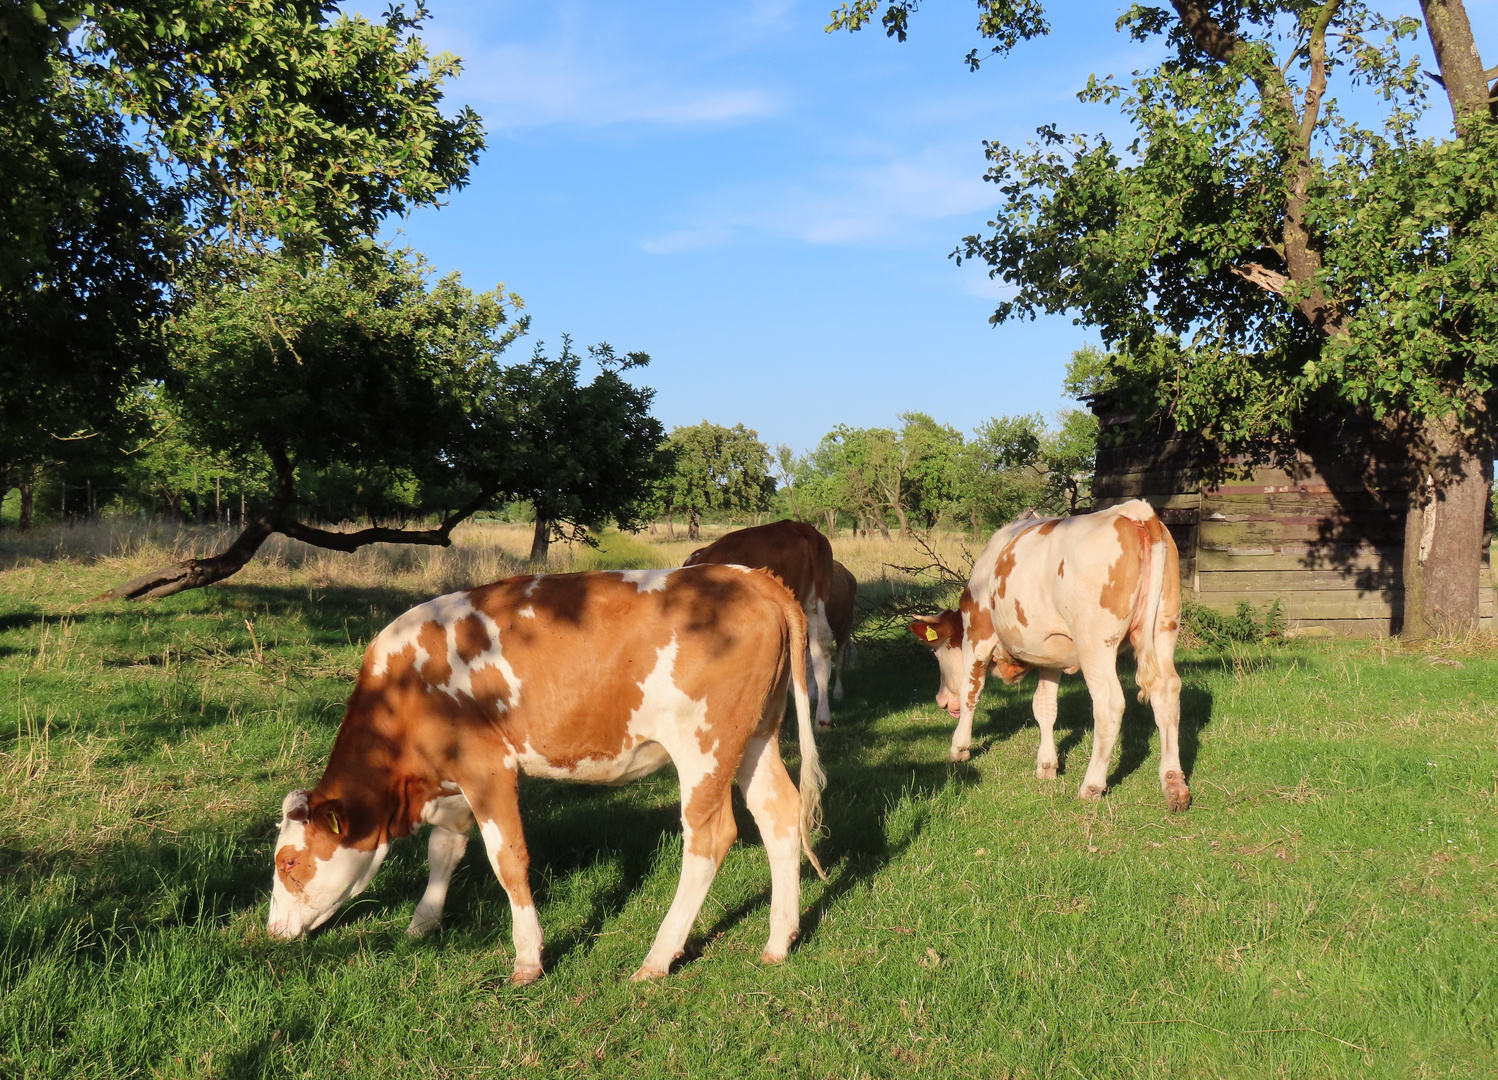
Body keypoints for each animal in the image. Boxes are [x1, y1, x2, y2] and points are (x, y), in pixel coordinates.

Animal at [272, 563, 832, 988]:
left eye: (290, 863)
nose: (273, 930)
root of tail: (749, 576)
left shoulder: (486, 766)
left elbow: (507, 860)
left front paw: (528, 959)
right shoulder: (453, 775)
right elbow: (444, 849)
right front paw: (422, 923)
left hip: (704, 746)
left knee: (709, 838)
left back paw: (657, 958)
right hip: (754, 735)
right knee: (779, 815)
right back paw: (778, 941)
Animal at [904, 500, 1186, 814]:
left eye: (937, 652)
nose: (941, 701)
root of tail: (1133, 510)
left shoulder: (977, 634)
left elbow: (970, 692)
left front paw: (959, 748)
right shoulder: (1051, 655)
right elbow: (1044, 706)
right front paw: (1047, 765)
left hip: (1095, 642)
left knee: (1109, 703)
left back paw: (1092, 785)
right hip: (1164, 627)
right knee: (1166, 692)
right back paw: (1174, 784)